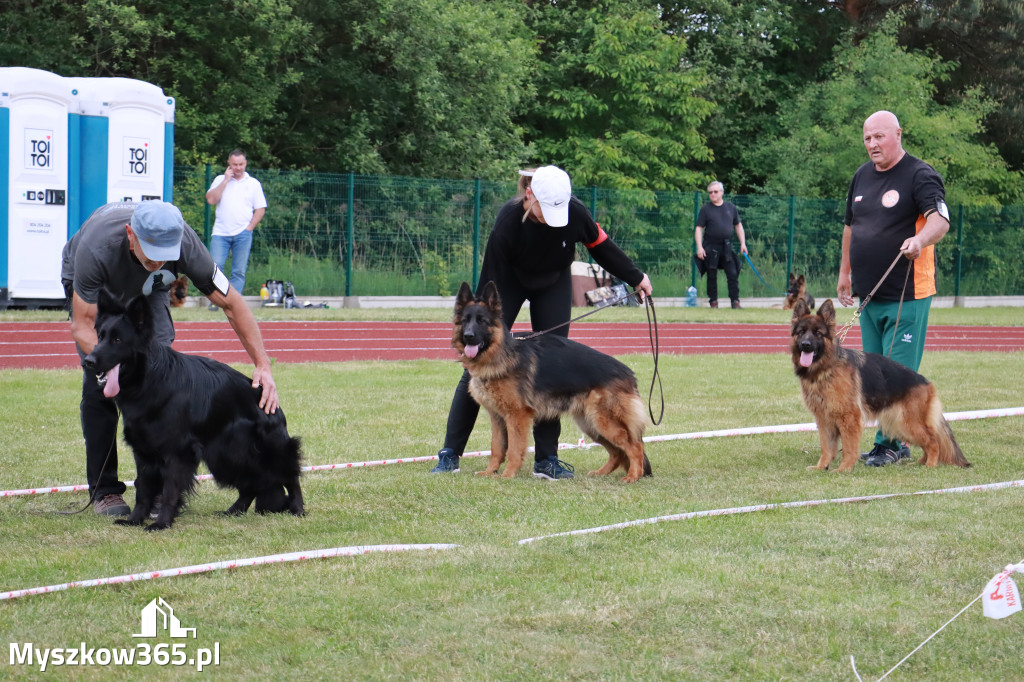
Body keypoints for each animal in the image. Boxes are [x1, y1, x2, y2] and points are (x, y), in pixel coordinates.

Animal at [82, 288, 303, 528]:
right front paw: (135, 520)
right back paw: (234, 511)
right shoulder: (143, 453)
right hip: (225, 455)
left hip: (265, 450)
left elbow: (170, 491)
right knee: (251, 483)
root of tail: (268, 398)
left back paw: (298, 509)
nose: (88, 361)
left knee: (290, 477)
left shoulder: (177, 453)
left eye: (118, 340)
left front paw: (162, 523)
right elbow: (143, 489)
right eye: (100, 337)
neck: (151, 379)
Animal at [454, 278, 651, 481]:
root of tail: (629, 373)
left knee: (635, 446)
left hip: (603, 422)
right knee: (618, 452)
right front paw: (490, 472)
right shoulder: (497, 417)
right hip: (591, 424)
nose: (468, 336)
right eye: (465, 321)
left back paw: (633, 476)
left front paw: (507, 475)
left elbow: (514, 449)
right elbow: (496, 448)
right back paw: (601, 472)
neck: (500, 355)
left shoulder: (517, 416)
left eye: (482, 321)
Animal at [790, 296, 966, 473]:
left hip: (905, 424)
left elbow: (848, 448)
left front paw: (844, 469)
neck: (826, 368)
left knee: (933, 441)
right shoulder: (824, 419)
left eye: (818, 333)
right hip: (899, 425)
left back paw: (930, 465)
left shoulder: (849, 418)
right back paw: (920, 462)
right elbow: (826, 447)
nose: (805, 344)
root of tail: (927, 382)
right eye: (801, 332)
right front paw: (821, 466)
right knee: (929, 442)